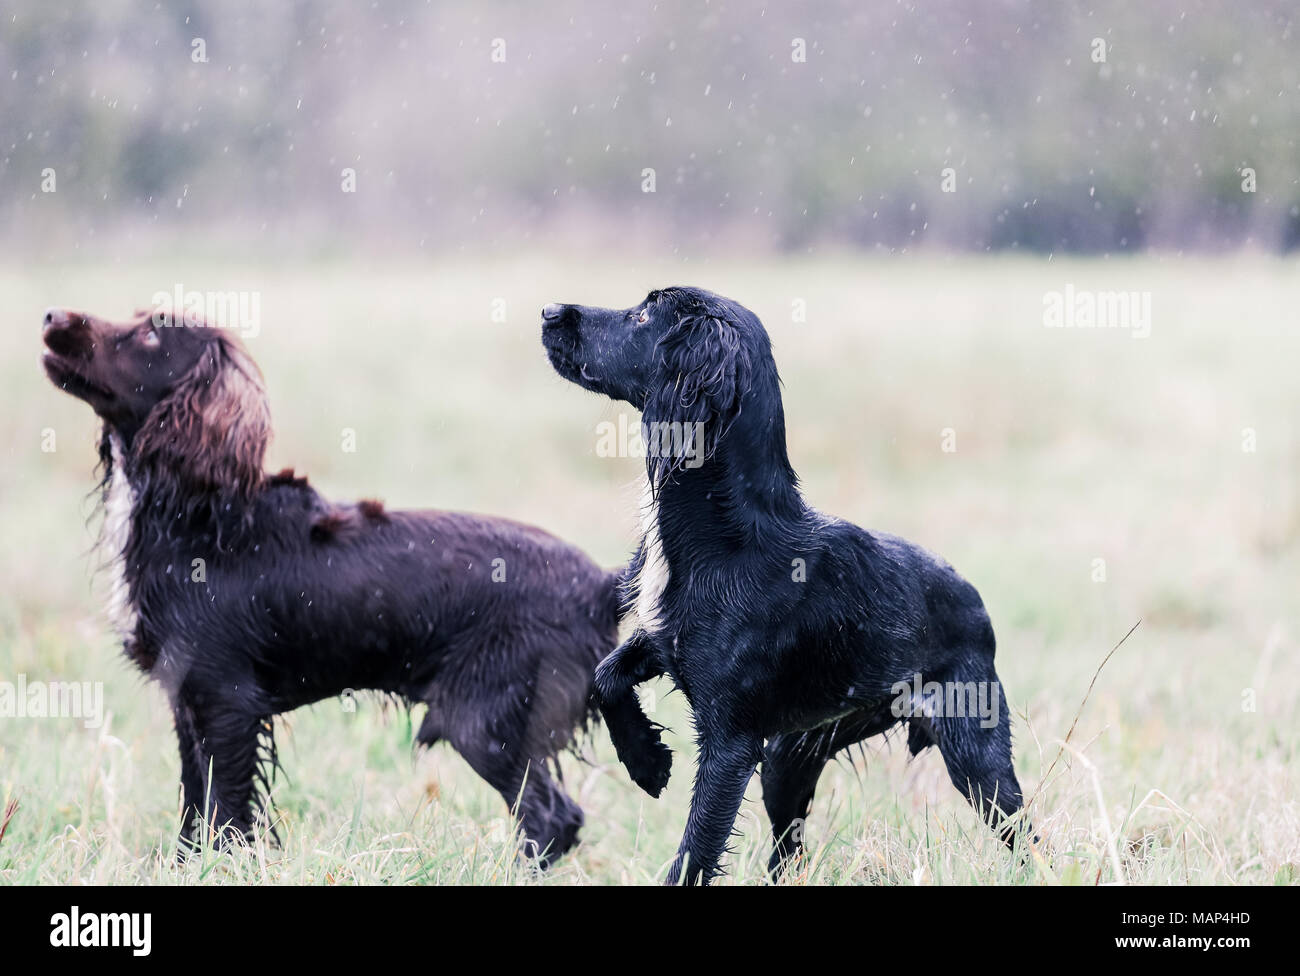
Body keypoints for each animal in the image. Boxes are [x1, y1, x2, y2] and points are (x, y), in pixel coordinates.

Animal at [43, 304, 621, 862]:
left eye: (151, 335)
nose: (51, 316)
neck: (197, 512)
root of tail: (600, 585)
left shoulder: (226, 699)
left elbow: (224, 809)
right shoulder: (189, 698)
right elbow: (194, 806)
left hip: (484, 721)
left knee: (552, 818)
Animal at [543, 284, 1029, 883]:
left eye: (643, 315)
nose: (548, 311)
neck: (728, 533)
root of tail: (974, 597)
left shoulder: (731, 743)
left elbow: (695, 850)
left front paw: (649, 766)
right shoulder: (665, 641)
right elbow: (605, 673)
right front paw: (646, 761)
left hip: (971, 748)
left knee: (1022, 830)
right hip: (789, 756)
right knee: (789, 852)